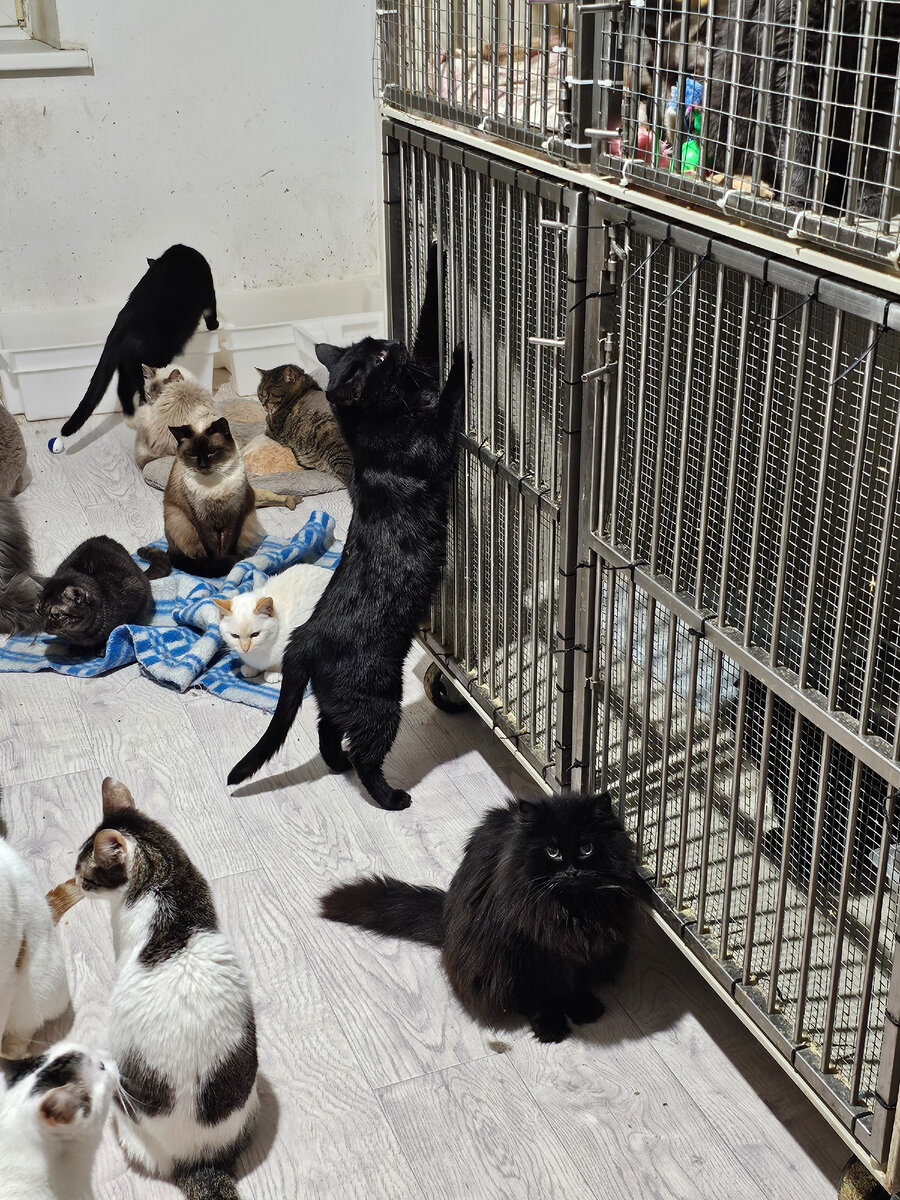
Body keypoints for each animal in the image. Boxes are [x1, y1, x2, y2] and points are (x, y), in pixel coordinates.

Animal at [53, 245, 218, 447]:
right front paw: (214, 326)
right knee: (136, 390)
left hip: (126, 365)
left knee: (122, 389)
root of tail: (121, 327)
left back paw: (131, 417)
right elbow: (211, 311)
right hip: (147, 360)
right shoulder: (209, 291)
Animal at [141, 417, 262, 579]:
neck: (213, 486)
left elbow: (228, 546)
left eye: (211, 452)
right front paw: (222, 567)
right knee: (195, 556)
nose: (202, 465)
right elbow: (213, 550)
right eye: (192, 455)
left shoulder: (235, 515)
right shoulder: (201, 519)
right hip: (179, 519)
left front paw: (226, 566)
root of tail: (169, 546)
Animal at [227, 244, 466, 810]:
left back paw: (334, 766)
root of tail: (303, 642)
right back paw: (391, 796)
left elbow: (428, 335)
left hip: (341, 702)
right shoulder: (435, 447)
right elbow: (448, 399)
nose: (390, 343)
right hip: (380, 701)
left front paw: (434, 254)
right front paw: (463, 352)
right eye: (376, 360)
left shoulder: (418, 380)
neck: (375, 427)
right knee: (365, 752)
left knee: (325, 728)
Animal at [322, 792, 640, 1042]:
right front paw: (550, 1025)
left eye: (586, 849)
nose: (572, 872)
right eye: (553, 852)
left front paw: (582, 1008)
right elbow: (542, 995)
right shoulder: (532, 956)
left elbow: (575, 985)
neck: (570, 914)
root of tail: (447, 923)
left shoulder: (583, 956)